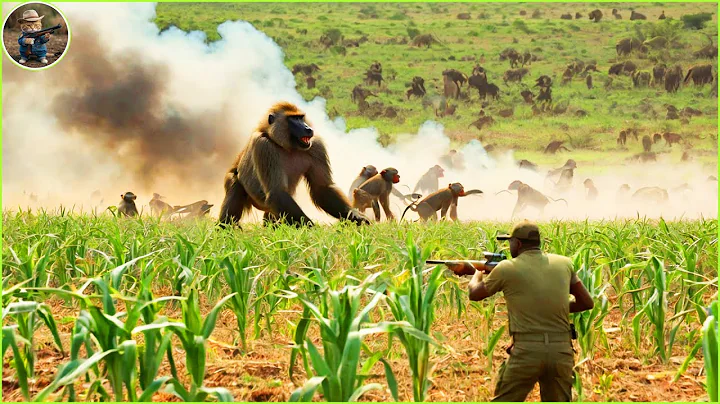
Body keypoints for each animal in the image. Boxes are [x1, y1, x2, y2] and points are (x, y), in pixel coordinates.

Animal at [218, 102, 369, 228]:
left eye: (301, 118)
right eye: (294, 119)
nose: (308, 128)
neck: (286, 146)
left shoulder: (316, 146)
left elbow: (322, 189)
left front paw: (354, 216)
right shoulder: (264, 146)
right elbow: (277, 192)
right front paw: (312, 230)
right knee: (235, 186)